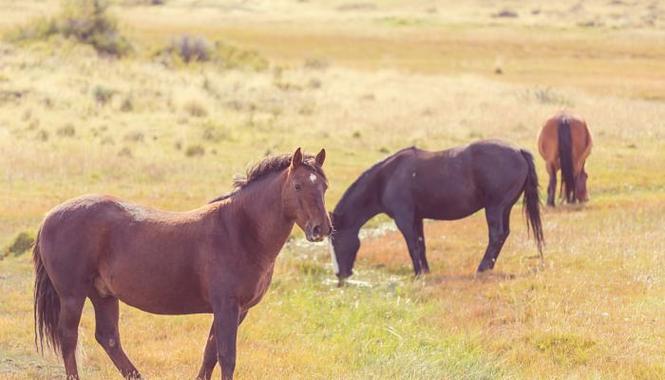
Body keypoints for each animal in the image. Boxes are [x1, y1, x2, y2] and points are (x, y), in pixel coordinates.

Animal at [33, 148, 330, 380]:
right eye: (298, 186)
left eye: (324, 187)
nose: (321, 229)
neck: (240, 229)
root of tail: (50, 216)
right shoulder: (226, 307)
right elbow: (227, 357)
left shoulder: (237, 311)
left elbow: (210, 354)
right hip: (73, 295)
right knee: (69, 338)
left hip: (103, 294)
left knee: (108, 338)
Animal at [330, 141, 544, 280]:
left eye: (335, 240)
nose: (341, 275)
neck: (386, 179)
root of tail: (519, 151)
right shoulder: (417, 218)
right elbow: (420, 243)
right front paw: (425, 271)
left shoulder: (404, 219)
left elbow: (412, 245)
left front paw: (418, 274)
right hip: (504, 209)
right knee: (502, 235)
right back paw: (487, 268)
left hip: (495, 208)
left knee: (496, 235)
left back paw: (481, 269)